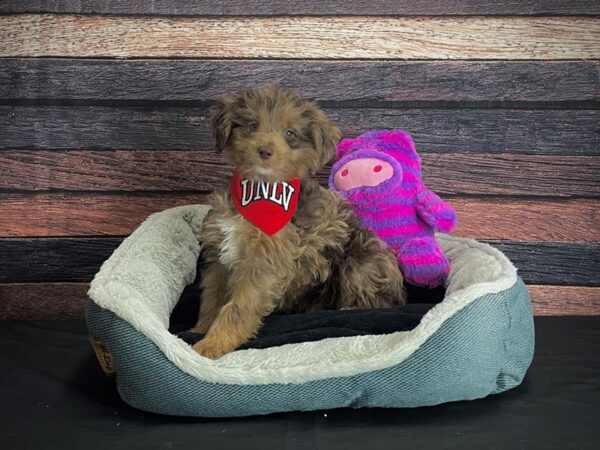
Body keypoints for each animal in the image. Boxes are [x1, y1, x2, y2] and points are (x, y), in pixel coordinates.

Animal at [195, 85, 406, 358]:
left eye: (290, 133)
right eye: (252, 125)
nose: (265, 151)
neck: (260, 190)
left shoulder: (263, 266)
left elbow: (238, 308)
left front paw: (213, 344)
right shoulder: (219, 259)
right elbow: (211, 298)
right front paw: (199, 330)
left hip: (362, 262)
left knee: (372, 302)